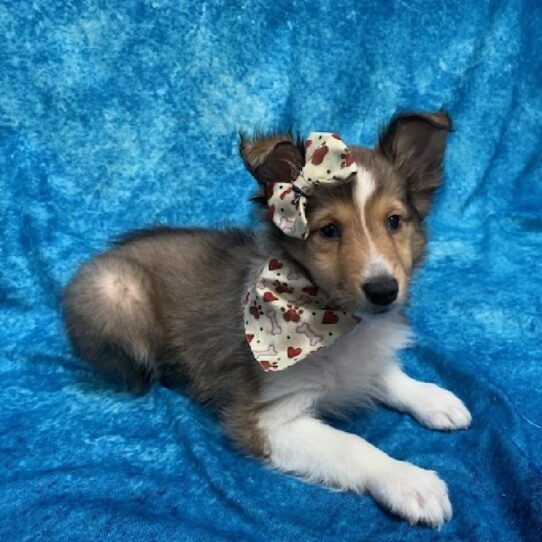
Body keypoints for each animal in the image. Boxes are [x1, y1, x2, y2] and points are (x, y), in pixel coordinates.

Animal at [62, 110, 472, 528]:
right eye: (329, 230)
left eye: (393, 221)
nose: (384, 290)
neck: (336, 320)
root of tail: (104, 255)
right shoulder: (268, 420)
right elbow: (353, 446)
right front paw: (410, 482)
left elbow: (386, 373)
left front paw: (433, 397)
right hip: (114, 290)